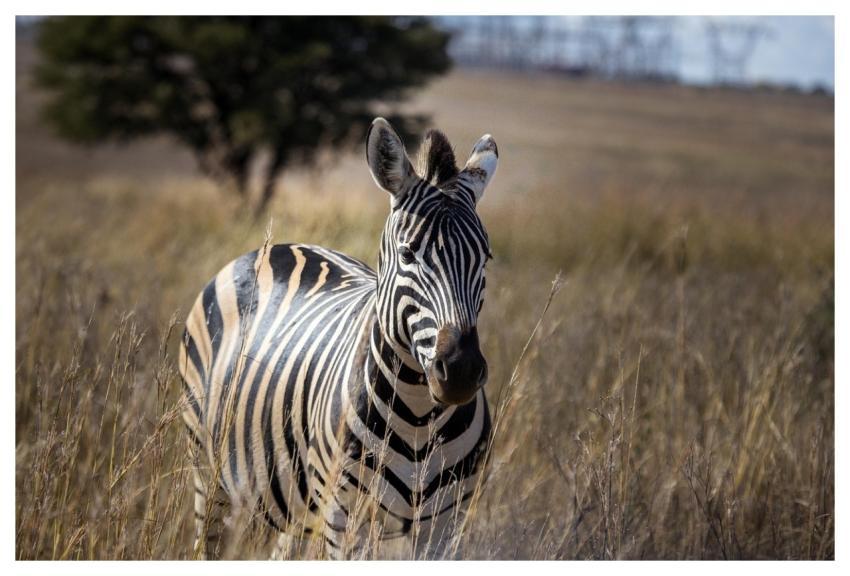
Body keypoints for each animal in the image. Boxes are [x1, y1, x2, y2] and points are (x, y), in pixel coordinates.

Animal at [178, 117, 499, 559]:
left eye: (485, 258)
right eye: (408, 254)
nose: (461, 371)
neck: (419, 414)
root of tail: (282, 246)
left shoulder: (445, 523)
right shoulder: (343, 517)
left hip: (297, 503)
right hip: (207, 468)